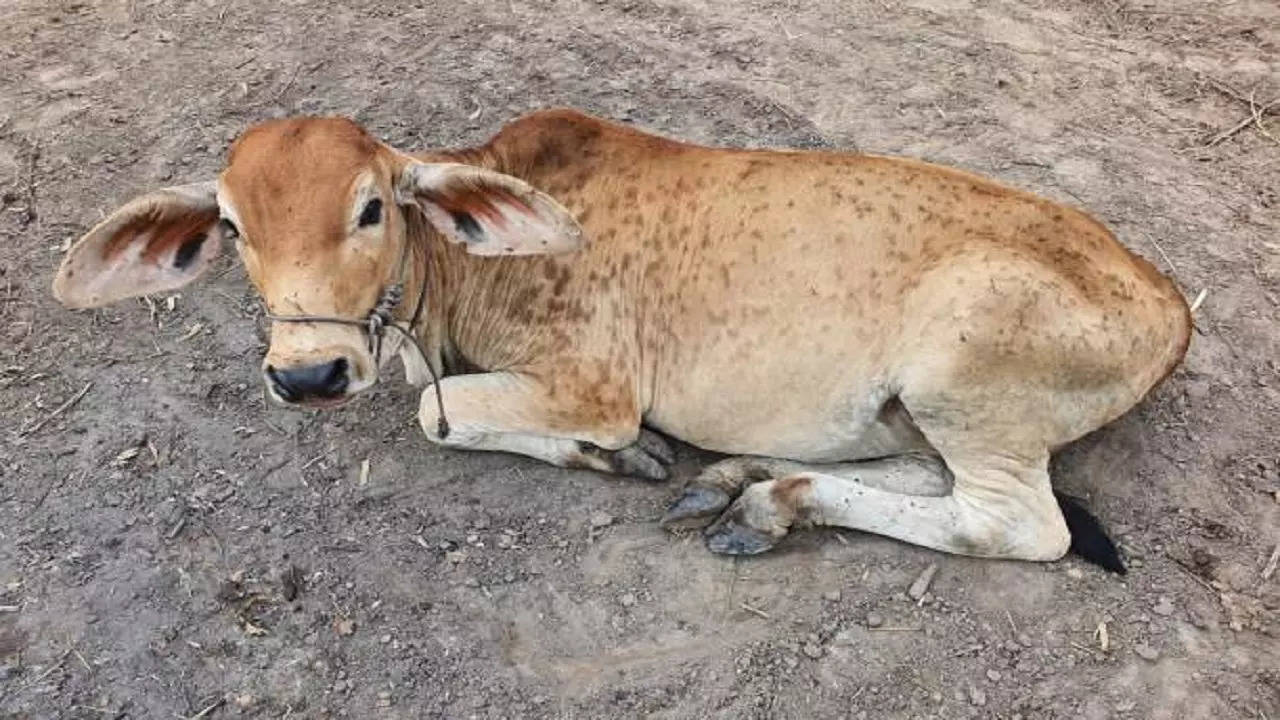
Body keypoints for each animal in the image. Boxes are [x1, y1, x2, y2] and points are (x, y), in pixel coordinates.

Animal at [49, 109, 1187, 568]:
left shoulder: (588, 381)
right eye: (232, 225)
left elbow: (436, 412)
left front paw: (616, 452)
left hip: (966, 386)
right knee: (921, 479)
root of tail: (1167, 299)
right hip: (916, 411)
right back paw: (749, 483)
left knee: (1011, 525)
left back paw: (762, 500)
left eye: (371, 206)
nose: (310, 372)